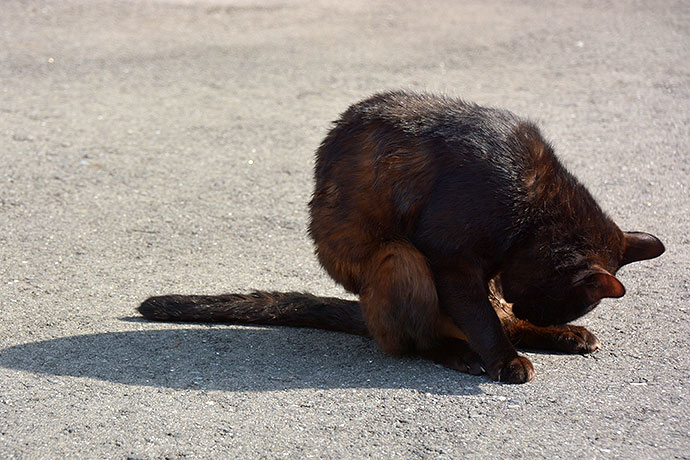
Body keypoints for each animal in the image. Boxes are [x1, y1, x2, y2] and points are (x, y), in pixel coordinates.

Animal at [138, 91, 660, 382]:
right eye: (558, 300)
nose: (537, 311)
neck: (532, 210)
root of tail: (367, 317)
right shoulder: (451, 260)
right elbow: (482, 321)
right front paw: (503, 360)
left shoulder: (485, 274)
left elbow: (492, 318)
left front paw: (547, 332)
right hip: (399, 256)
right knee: (421, 340)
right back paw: (460, 354)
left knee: (498, 321)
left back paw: (567, 338)